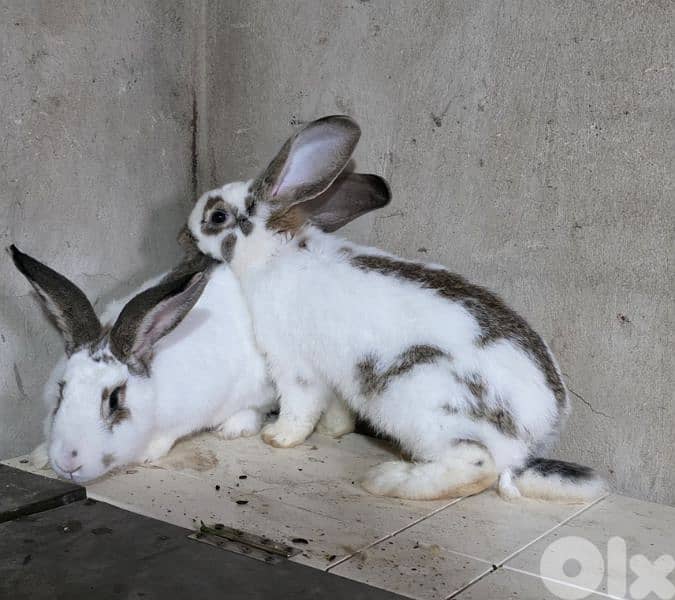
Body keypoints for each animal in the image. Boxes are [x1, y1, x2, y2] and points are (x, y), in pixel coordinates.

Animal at [9, 240, 277, 483]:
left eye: (114, 400)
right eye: (61, 392)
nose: (68, 463)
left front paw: (147, 453)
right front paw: (40, 456)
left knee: (254, 408)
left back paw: (233, 428)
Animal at [183, 115, 607, 502]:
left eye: (217, 216)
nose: (185, 230)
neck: (274, 253)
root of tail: (541, 428)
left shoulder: (294, 363)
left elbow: (299, 405)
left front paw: (278, 437)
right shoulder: (334, 373)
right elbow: (336, 407)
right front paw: (333, 431)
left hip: (426, 403)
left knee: (476, 464)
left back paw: (390, 479)